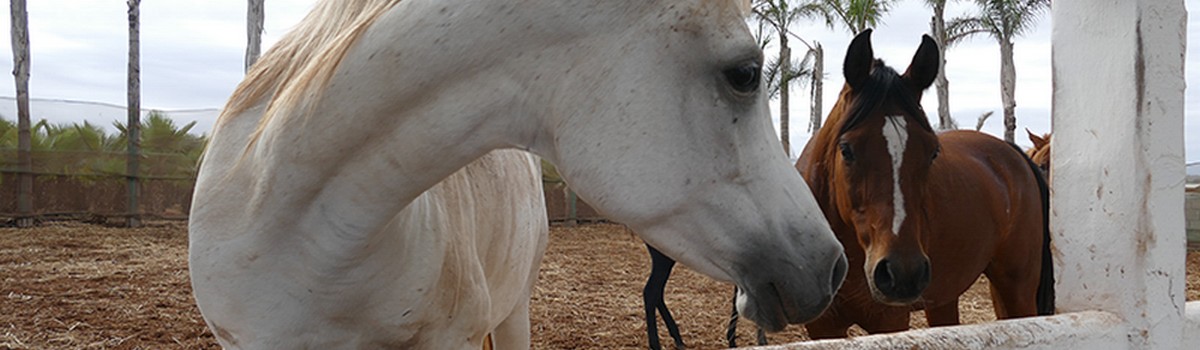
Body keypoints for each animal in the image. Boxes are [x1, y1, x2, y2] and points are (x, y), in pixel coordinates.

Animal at [796, 30, 1051, 338]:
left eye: (932, 152)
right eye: (846, 149)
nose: (903, 273)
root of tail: (1015, 155)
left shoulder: (890, 321)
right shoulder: (823, 325)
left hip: (1017, 287)